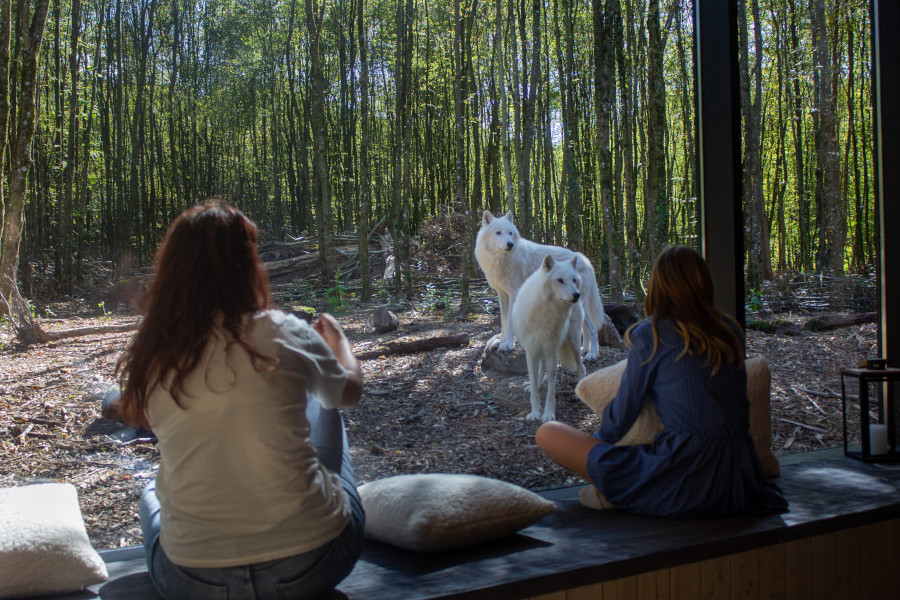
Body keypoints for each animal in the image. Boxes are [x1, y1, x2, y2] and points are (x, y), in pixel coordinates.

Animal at [474, 211, 616, 360]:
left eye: (510, 233)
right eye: (498, 233)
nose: (510, 244)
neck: (499, 259)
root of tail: (587, 261)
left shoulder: (514, 293)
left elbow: (511, 322)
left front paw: (508, 345)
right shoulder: (502, 294)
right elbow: (504, 322)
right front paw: (500, 342)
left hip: (579, 302)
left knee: (593, 329)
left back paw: (593, 354)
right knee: (586, 329)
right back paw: (584, 350)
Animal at [510, 253, 588, 422]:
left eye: (574, 280)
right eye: (560, 280)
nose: (576, 295)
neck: (546, 313)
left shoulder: (552, 353)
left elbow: (551, 390)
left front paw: (548, 414)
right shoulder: (532, 352)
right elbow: (534, 384)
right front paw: (534, 412)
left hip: (573, 343)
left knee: (581, 366)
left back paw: (579, 390)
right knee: (541, 369)